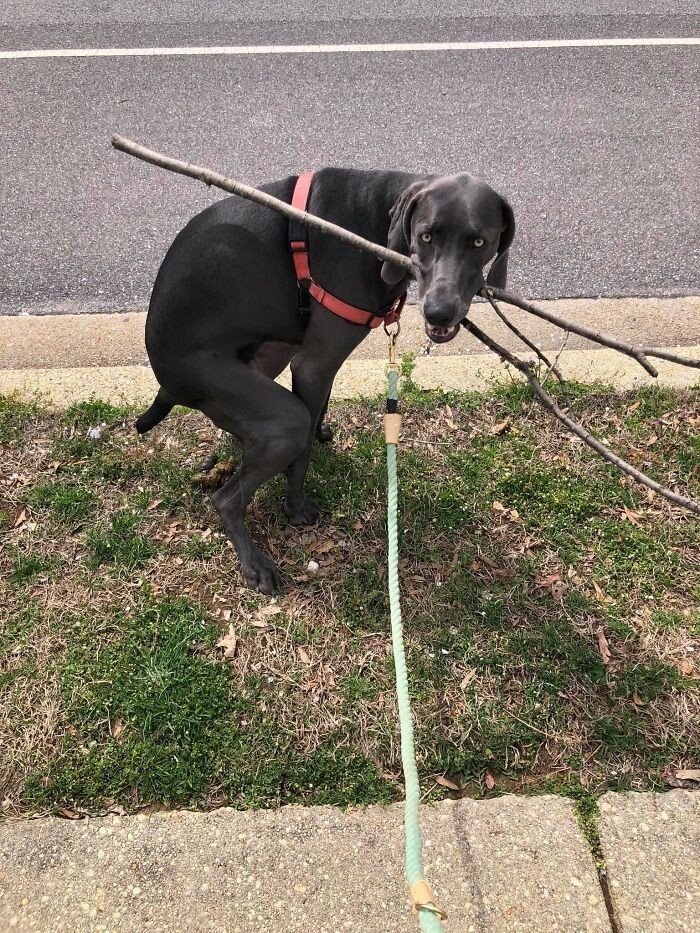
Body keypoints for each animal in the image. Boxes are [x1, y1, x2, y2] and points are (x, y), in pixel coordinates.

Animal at [135, 169, 516, 588]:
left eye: (479, 241)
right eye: (427, 235)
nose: (439, 312)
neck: (376, 225)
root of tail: (163, 378)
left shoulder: (320, 366)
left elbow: (320, 411)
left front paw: (320, 436)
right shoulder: (314, 363)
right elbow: (302, 451)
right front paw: (296, 507)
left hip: (268, 353)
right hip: (267, 411)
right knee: (229, 495)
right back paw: (254, 562)